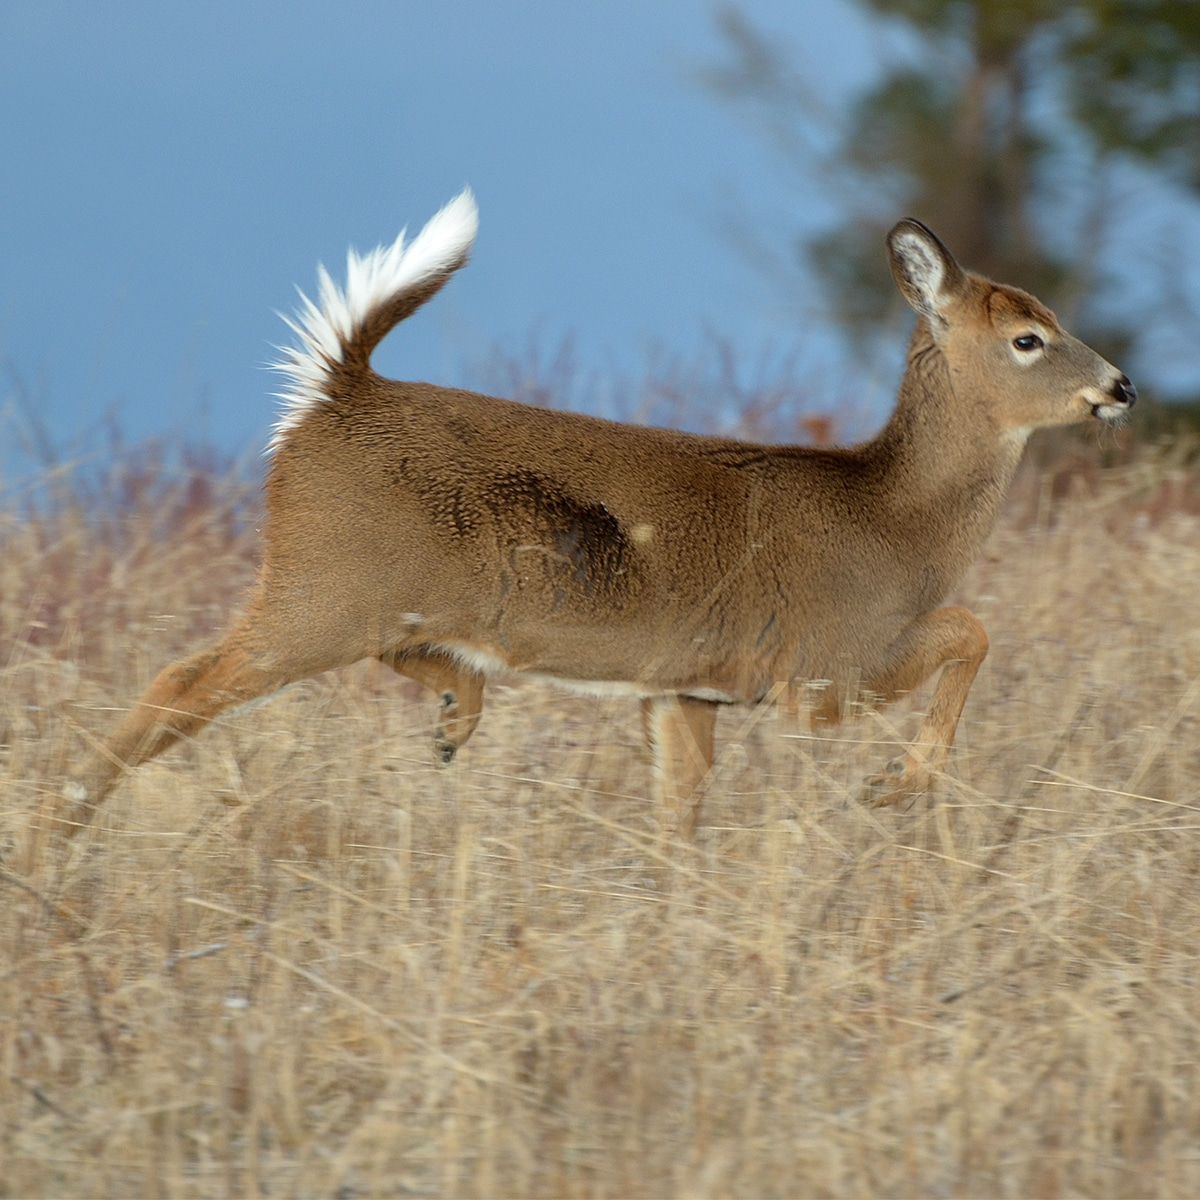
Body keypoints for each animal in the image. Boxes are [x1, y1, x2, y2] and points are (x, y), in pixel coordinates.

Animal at [58, 189, 1134, 839]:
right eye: (1029, 337)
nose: (1121, 386)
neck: (895, 522)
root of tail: (334, 391)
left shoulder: (688, 688)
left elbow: (678, 814)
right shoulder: (821, 666)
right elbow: (973, 628)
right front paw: (897, 786)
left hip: (370, 595)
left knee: (400, 657)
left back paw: (454, 718)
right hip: (319, 585)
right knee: (179, 681)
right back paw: (57, 832)